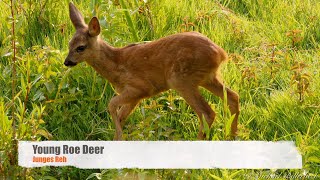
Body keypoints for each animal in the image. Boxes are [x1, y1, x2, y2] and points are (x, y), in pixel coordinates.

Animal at [64, 2, 240, 141]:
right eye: (69, 44)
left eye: (81, 47)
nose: (67, 62)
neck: (116, 66)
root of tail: (220, 53)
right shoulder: (135, 97)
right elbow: (121, 116)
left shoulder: (140, 88)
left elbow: (111, 105)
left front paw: (119, 138)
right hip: (207, 77)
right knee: (233, 97)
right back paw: (232, 137)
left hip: (181, 80)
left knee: (207, 112)